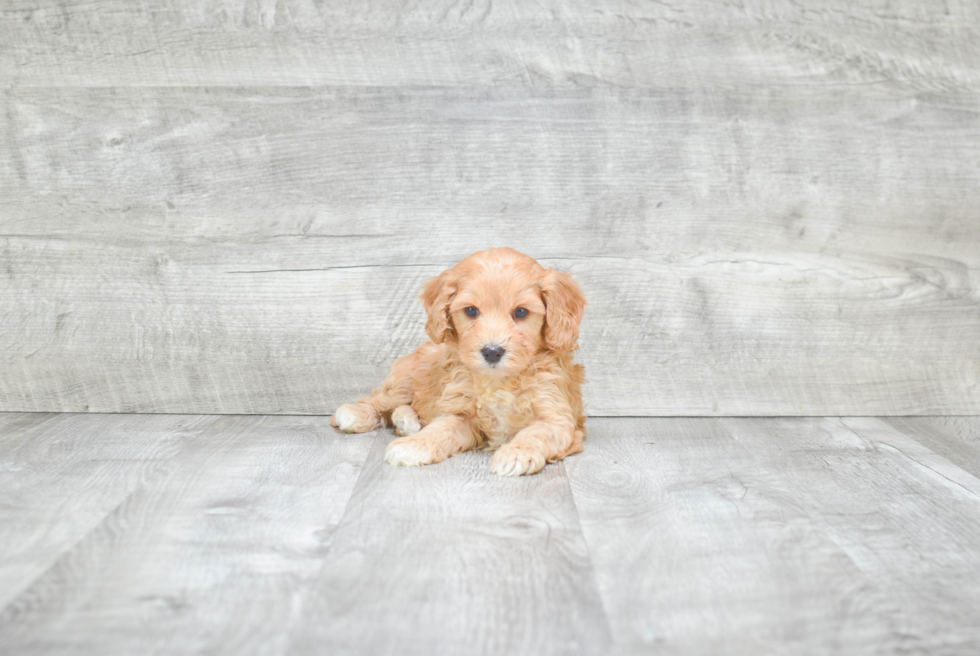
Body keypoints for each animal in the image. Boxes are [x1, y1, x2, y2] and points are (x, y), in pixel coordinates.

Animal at [330, 246, 588, 476]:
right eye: (471, 311)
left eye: (521, 312)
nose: (492, 351)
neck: (499, 381)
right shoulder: (461, 412)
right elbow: (440, 429)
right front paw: (414, 445)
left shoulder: (557, 416)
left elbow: (537, 433)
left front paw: (515, 454)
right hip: (405, 380)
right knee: (379, 400)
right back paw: (355, 414)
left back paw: (406, 422)